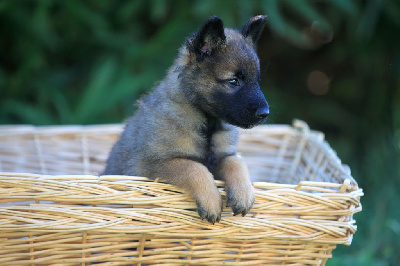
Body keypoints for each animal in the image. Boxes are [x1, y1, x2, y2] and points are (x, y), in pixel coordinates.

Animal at [104, 15, 270, 224]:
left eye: (256, 81)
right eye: (234, 81)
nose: (265, 113)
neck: (207, 124)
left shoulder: (222, 156)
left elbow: (236, 162)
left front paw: (244, 193)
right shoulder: (153, 164)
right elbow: (193, 167)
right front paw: (210, 199)